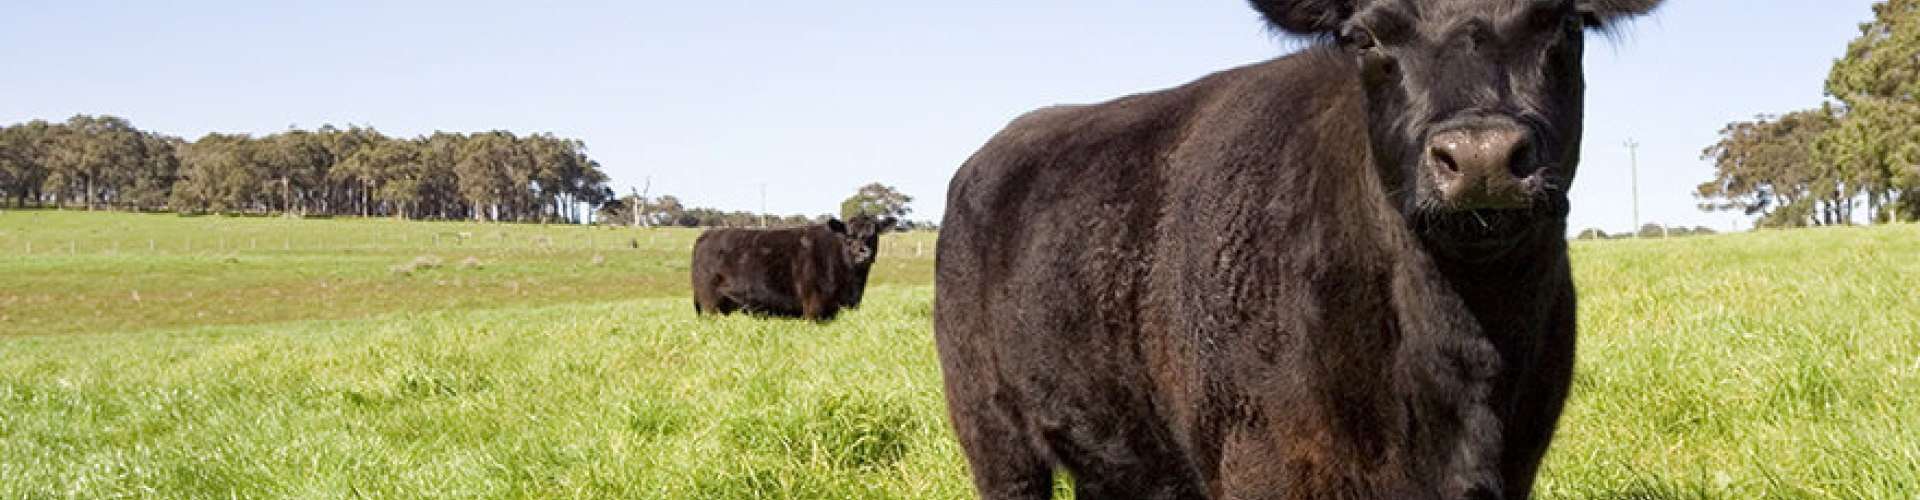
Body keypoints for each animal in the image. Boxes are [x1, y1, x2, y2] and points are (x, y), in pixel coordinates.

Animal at [691, 214, 895, 321]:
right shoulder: (814, 307)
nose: (863, 252)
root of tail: (707, 234)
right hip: (710, 304)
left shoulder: (850, 305)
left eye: (873, 234)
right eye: (849, 236)